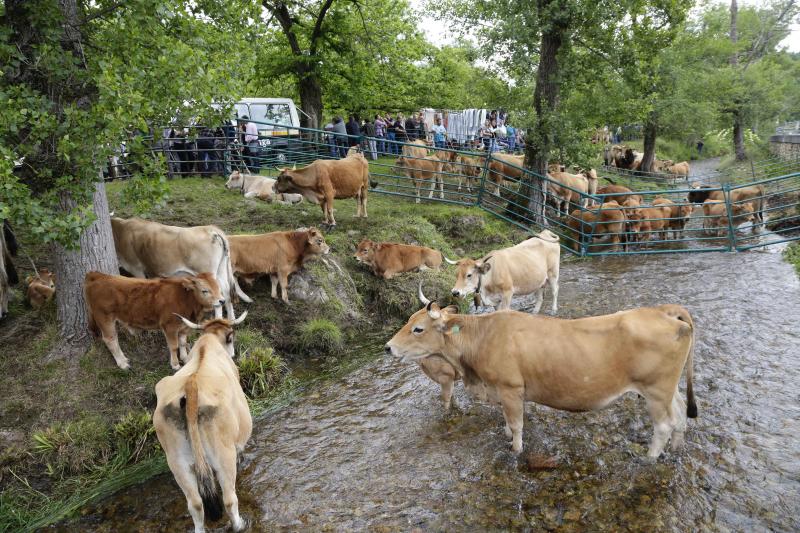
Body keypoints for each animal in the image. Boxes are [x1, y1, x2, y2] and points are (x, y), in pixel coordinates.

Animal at [85, 270, 223, 370]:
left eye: (218, 287)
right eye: (204, 290)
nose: (222, 300)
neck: (185, 299)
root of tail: (96, 275)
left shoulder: (184, 326)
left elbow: (183, 342)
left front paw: (185, 358)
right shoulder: (170, 326)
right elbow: (174, 346)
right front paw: (175, 365)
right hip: (104, 318)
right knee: (111, 340)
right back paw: (122, 363)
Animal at [108, 215, 248, 318]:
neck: (120, 231)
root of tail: (210, 229)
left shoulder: (136, 268)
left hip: (208, 272)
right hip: (221, 269)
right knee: (226, 291)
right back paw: (231, 320)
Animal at [155, 312, 252, 532]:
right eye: (231, 338)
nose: (233, 353)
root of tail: (190, 385)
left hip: (177, 461)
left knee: (195, 503)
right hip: (223, 453)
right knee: (229, 499)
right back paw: (240, 524)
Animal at [384, 290, 696, 458]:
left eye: (418, 329)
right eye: (408, 321)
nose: (387, 347)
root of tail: (664, 312)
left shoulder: (510, 388)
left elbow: (517, 426)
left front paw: (515, 450)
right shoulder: (502, 390)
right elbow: (507, 423)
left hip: (655, 390)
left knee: (664, 426)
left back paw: (650, 458)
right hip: (668, 389)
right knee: (681, 414)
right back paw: (677, 448)